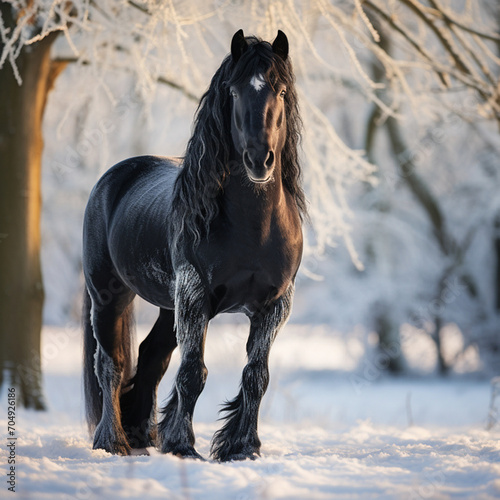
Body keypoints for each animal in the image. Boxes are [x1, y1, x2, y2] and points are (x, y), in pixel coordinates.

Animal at [82, 30, 304, 460]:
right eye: (233, 91)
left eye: (282, 91)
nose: (260, 159)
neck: (254, 228)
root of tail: (114, 177)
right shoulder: (195, 293)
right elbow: (191, 373)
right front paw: (183, 446)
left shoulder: (274, 304)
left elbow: (256, 375)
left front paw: (242, 447)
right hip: (109, 298)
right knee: (110, 364)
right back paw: (112, 441)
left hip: (169, 308)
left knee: (150, 358)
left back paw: (140, 434)